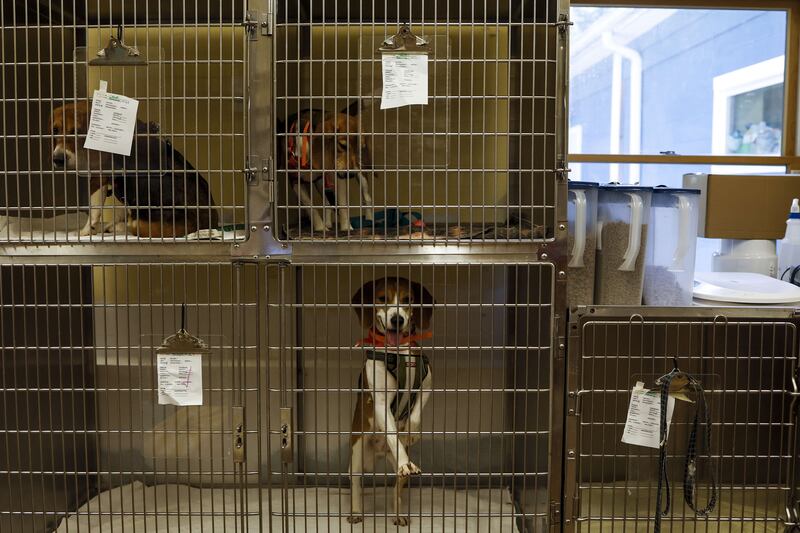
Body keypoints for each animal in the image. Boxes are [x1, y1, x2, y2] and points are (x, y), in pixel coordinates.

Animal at [50, 102, 219, 237]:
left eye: (76, 132)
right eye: (55, 130)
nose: (57, 159)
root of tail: (209, 224)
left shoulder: (99, 178)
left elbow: (94, 211)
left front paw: (85, 232)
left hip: (144, 223)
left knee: (133, 225)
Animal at [280, 102, 374, 231]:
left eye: (359, 149)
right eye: (343, 146)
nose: (350, 174)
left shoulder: (338, 176)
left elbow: (343, 204)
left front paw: (346, 228)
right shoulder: (295, 180)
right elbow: (310, 206)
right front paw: (320, 228)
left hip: (360, 176)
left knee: (367, 197)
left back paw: (369, 220)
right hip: (321, 183)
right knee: (327, 203)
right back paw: (327, 223)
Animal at [348, 276, 434, 524]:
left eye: (408, 299)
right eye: (381, 298)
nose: (398, 319)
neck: (399, 352)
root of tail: (378, 452)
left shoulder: (427, 383)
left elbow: (415, 415)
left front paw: (412, 432)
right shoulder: (380, 403)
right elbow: (393, 436)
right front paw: (405, 461)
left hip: (392, 469)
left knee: (396, 488)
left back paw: (398, 514)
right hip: (357, 451)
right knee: (355, 482)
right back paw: (356, 512)